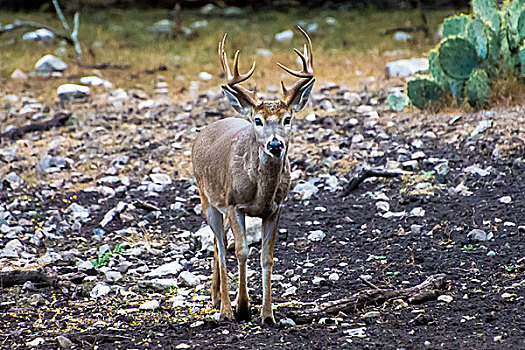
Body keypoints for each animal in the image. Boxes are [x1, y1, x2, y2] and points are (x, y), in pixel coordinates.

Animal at [192, 27, 316, 326]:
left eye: (287, 119)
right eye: (258, 120)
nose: (275, 144)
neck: (261, 192)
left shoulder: (276, 208)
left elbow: (267, 257)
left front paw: (268, 314)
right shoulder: (234, 204)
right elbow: (241, 251)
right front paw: (241, 307)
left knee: (219, 244)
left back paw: (216, 297)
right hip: (208, 198)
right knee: (221, 246)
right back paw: (223, 307)